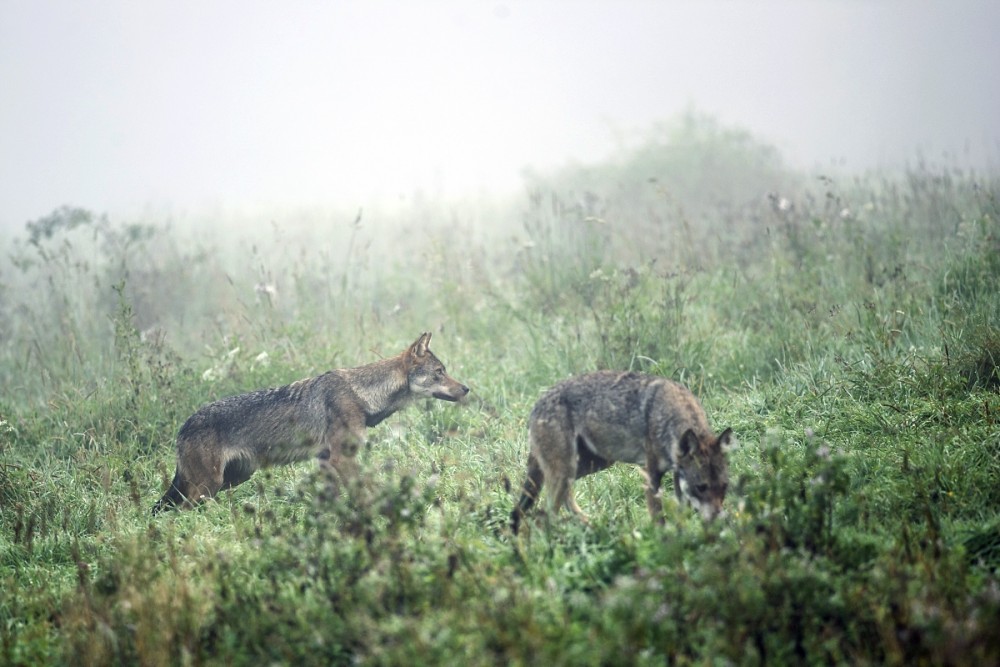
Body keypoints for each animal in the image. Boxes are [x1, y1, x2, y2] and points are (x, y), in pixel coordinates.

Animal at [154, 332, 470, 516]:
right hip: (208, 486)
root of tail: (184, 425)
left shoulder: (326, 461)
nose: (466, 388)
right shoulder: (342, 459)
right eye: (440, 372)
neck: (362, 394)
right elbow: (365, 491)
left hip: (233, 478)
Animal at [512, 370, 732, 532]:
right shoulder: (650, 474)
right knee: (544, 516)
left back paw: (592, 525)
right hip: (565, 472)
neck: (667, 415)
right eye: (701, 487)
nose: (719, 520)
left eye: (724, 487)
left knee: (565, 499)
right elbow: (659, 519)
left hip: (589, 466)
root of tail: (536, 405)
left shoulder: (677, 476)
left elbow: (681, 517)